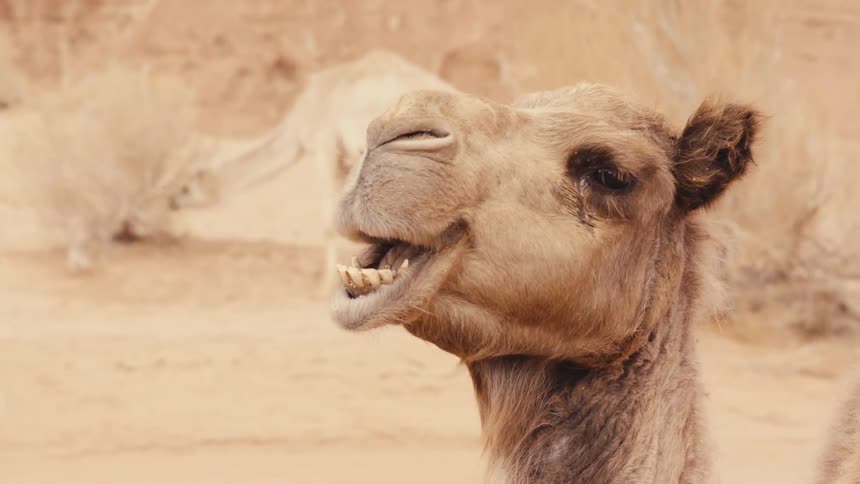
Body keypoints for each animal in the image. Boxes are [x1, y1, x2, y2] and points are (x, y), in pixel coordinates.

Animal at [167, 51, 456, 294]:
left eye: (185, 186)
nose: (171, 201)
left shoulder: (325, 147)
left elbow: (331, 219)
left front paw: (326, 286)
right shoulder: (347, 158)